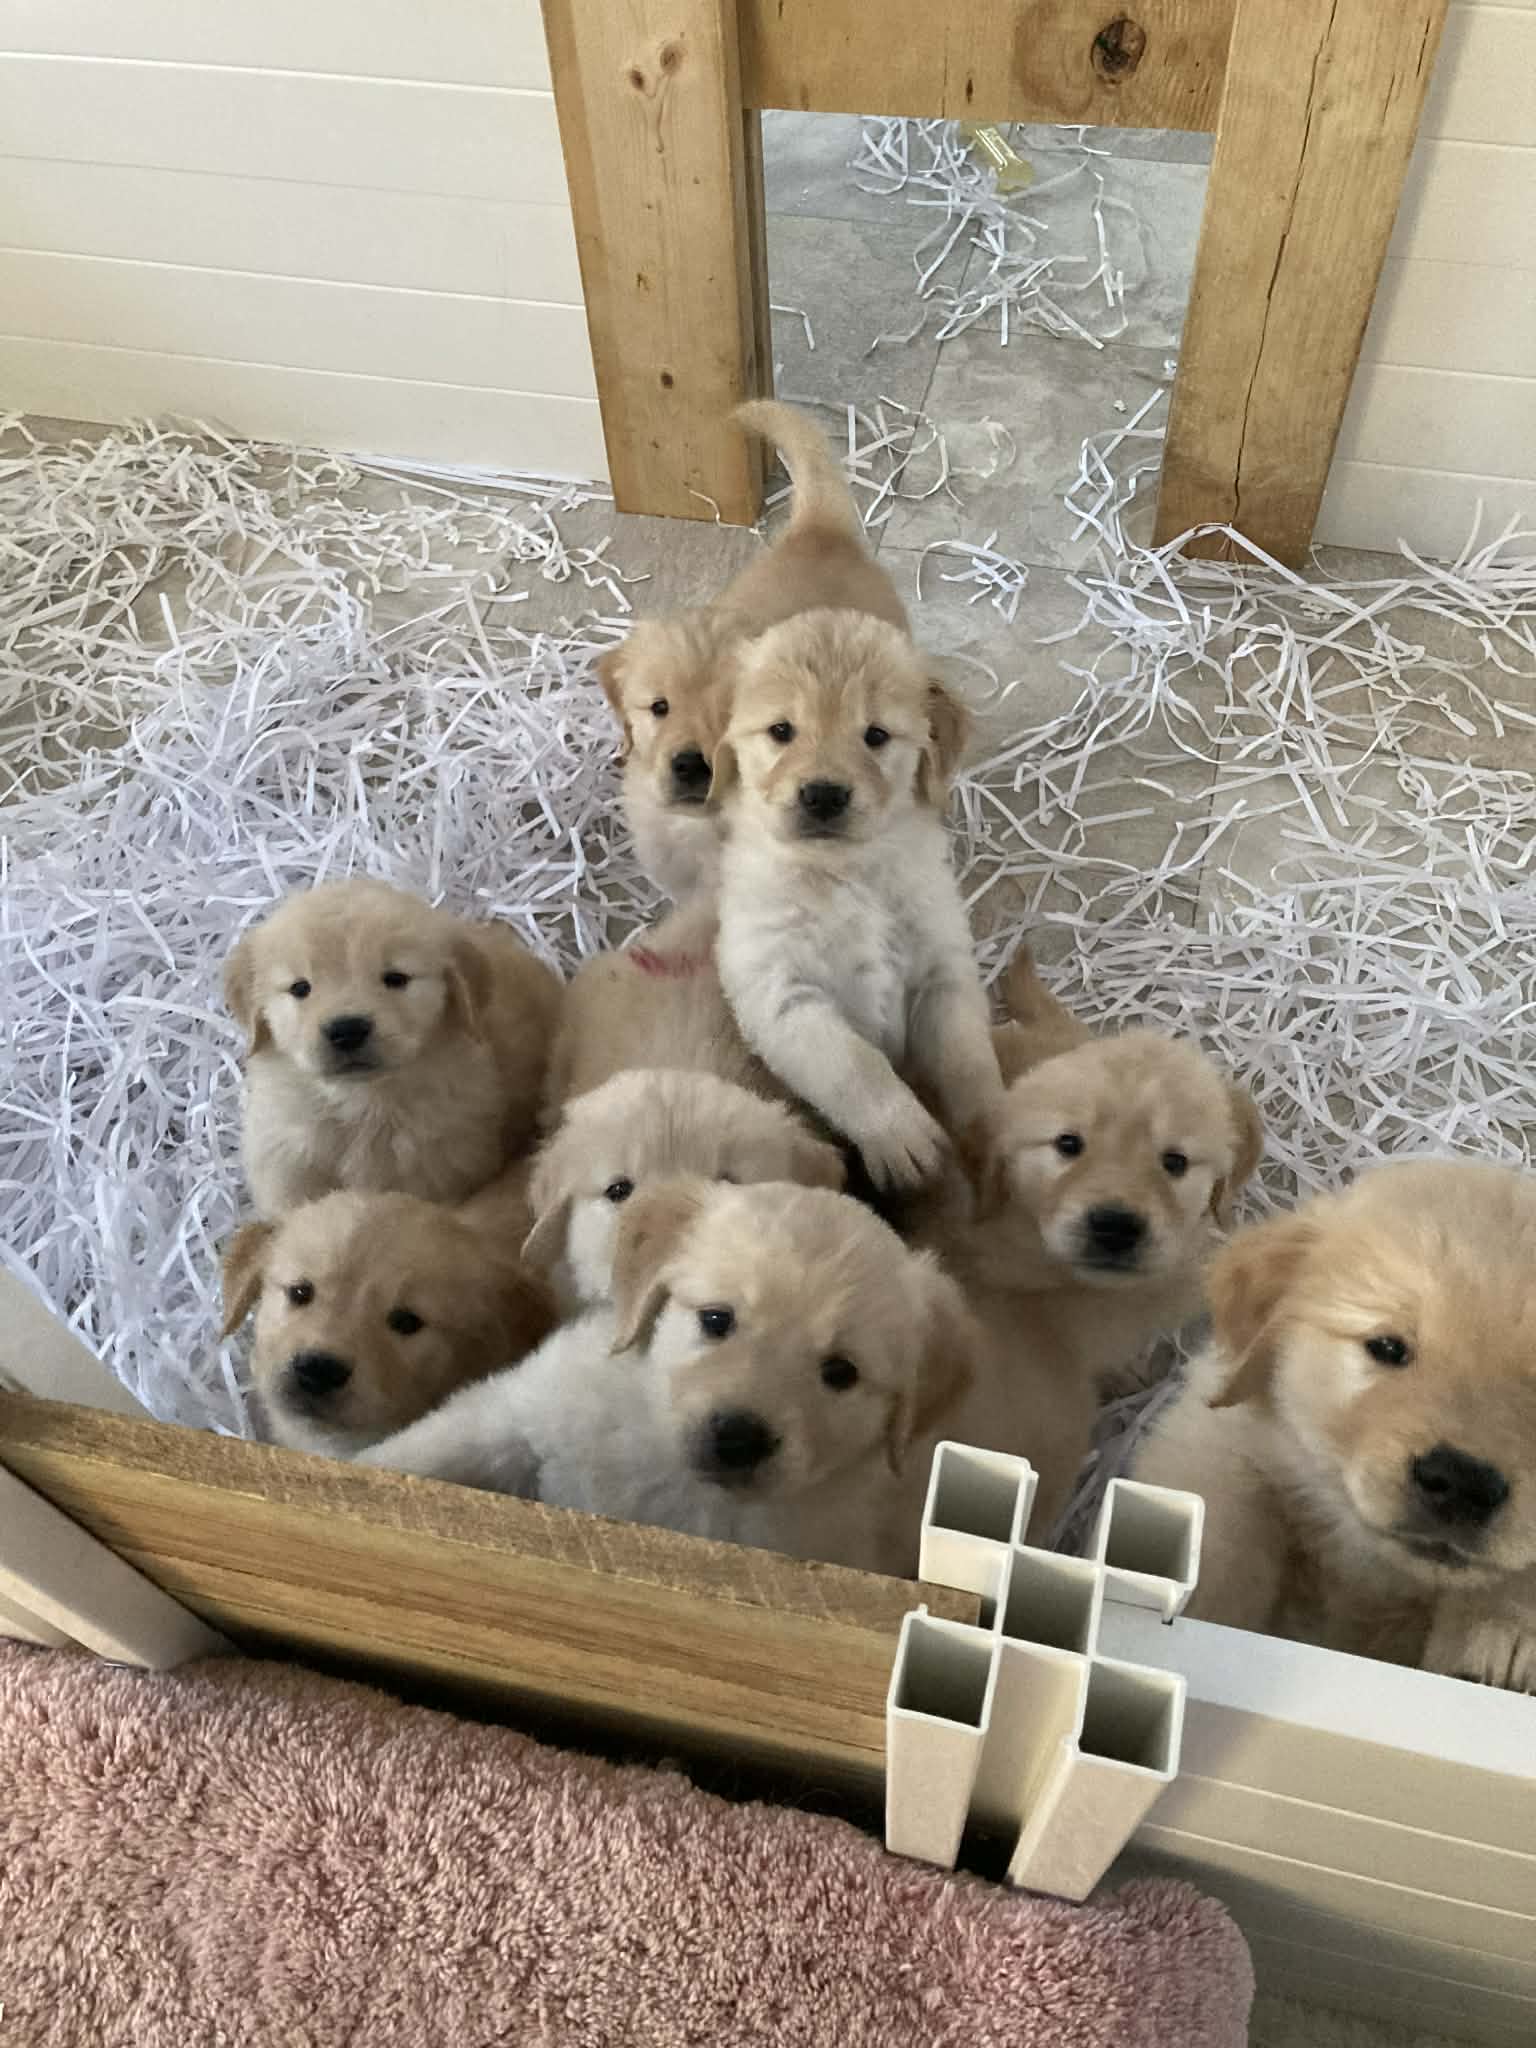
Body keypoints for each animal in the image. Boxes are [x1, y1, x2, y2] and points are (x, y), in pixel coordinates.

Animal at [358, 1178, 976, 1576]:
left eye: (841, 1372)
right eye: (716, 1320)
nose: (739, 1439)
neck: (672, 1476)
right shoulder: (518, 1414)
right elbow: (420, 1454)